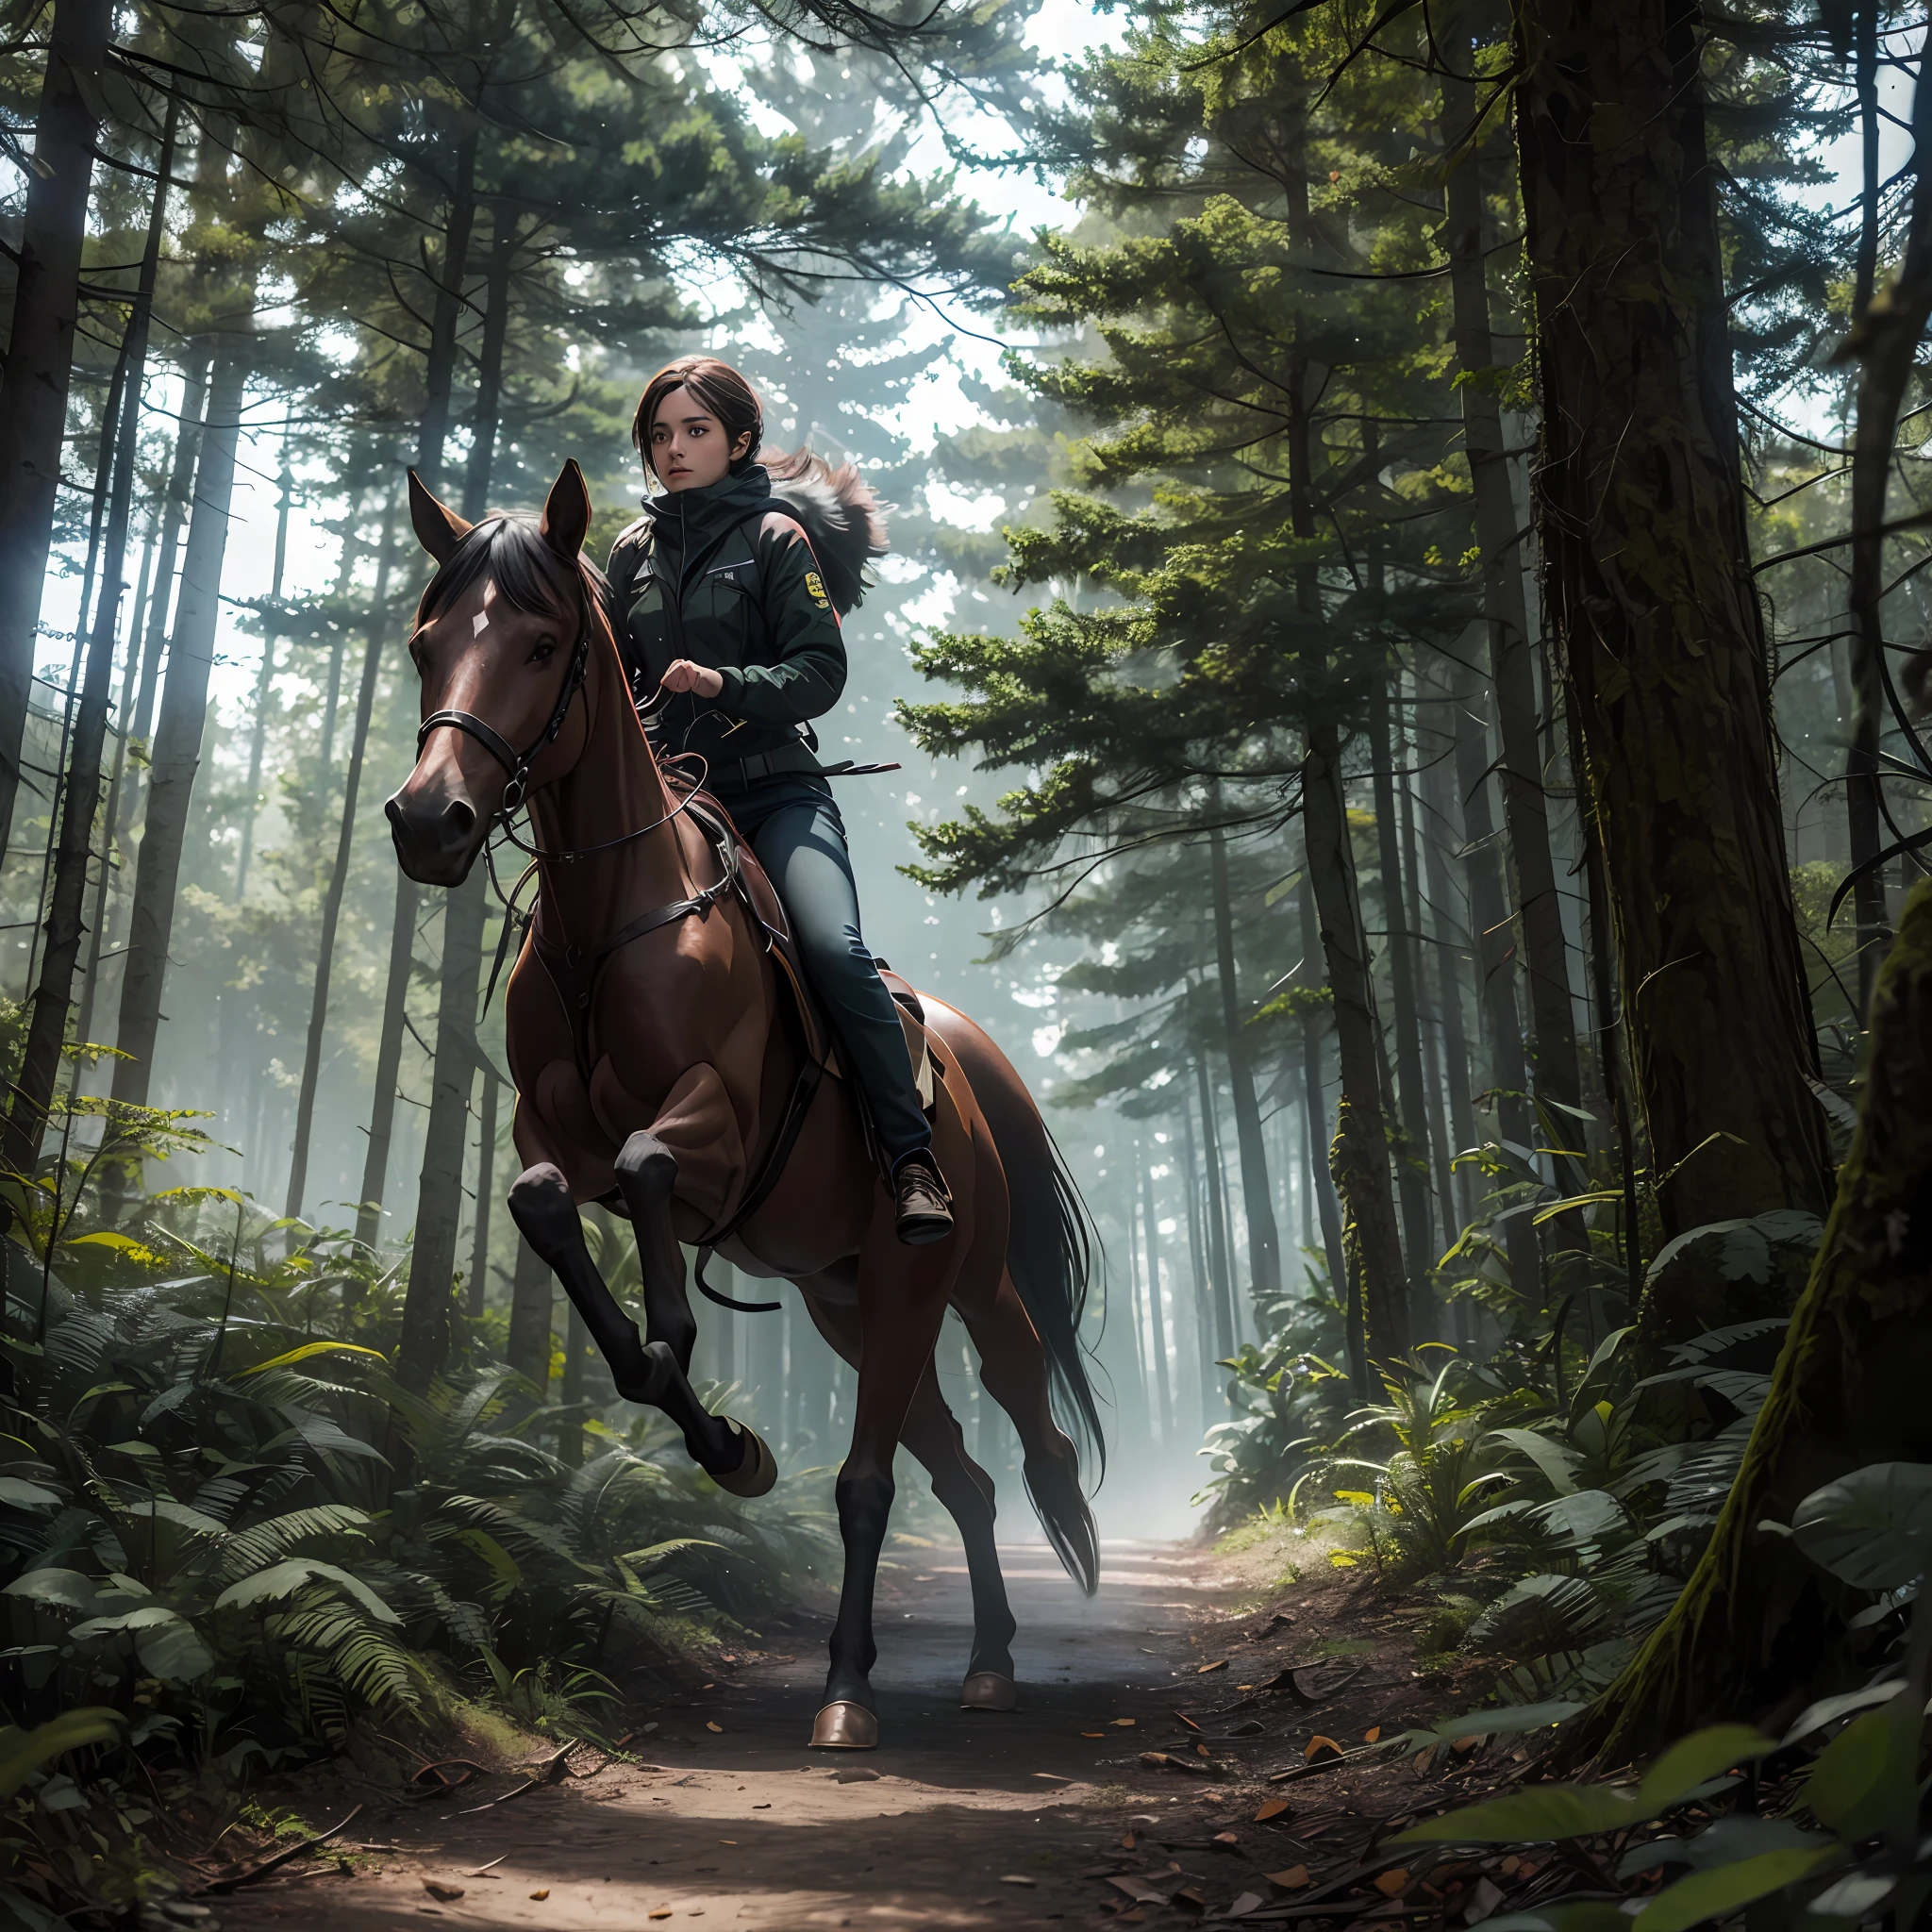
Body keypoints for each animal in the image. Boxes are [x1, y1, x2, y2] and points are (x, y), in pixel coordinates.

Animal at [384, 459, 1105, 1746]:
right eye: (427, 640)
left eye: (539, 642)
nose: (429, 822)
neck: (609, 922)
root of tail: (961, 1053)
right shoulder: (546, 1136)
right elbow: (542, 1200)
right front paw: (718, 1433)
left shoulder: (716, 1122)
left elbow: (652, 1167)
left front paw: (680, 1353)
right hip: (856, 1305)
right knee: (959, 1474)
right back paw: (983, 1659)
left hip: (958, 1280)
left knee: (990, 1437)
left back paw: (860, 1683)